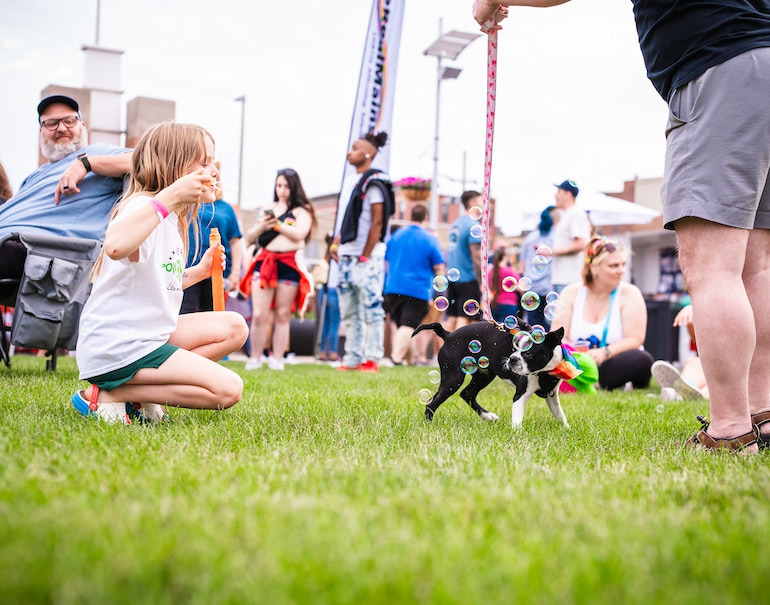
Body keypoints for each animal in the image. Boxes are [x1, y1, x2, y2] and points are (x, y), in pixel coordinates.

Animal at [414, 320, 568, 430]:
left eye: (528, 353)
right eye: (513, 349)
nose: (512, 359)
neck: (545, 373)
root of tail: (448, 335)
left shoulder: (551, 395)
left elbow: (559, 414)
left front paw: (566, 429)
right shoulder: (520, 395)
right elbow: (517, 417)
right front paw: (517, 433)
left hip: (484, 376)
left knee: (467, 393)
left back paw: (488, 416)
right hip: (453, 378)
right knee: (432, 402)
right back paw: (429, 425)